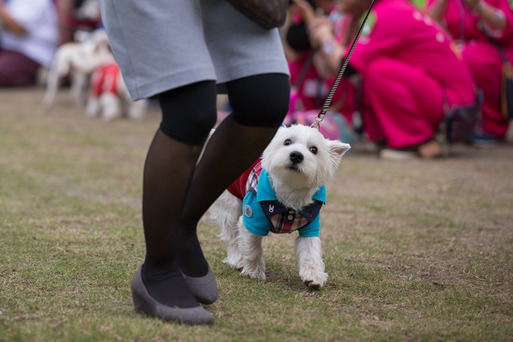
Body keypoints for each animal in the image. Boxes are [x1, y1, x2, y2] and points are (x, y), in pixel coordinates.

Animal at [207, 123, 348, 288]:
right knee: (232, 235)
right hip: (231, 205)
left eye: (314, 149)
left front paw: (313, 277)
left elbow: (310, 251)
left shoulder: (310, 225)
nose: (296, 155)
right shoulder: (250, 219)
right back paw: (237, 260)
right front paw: (254, 273)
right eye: (287, 142)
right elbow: (252, 249)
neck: (290, 191)